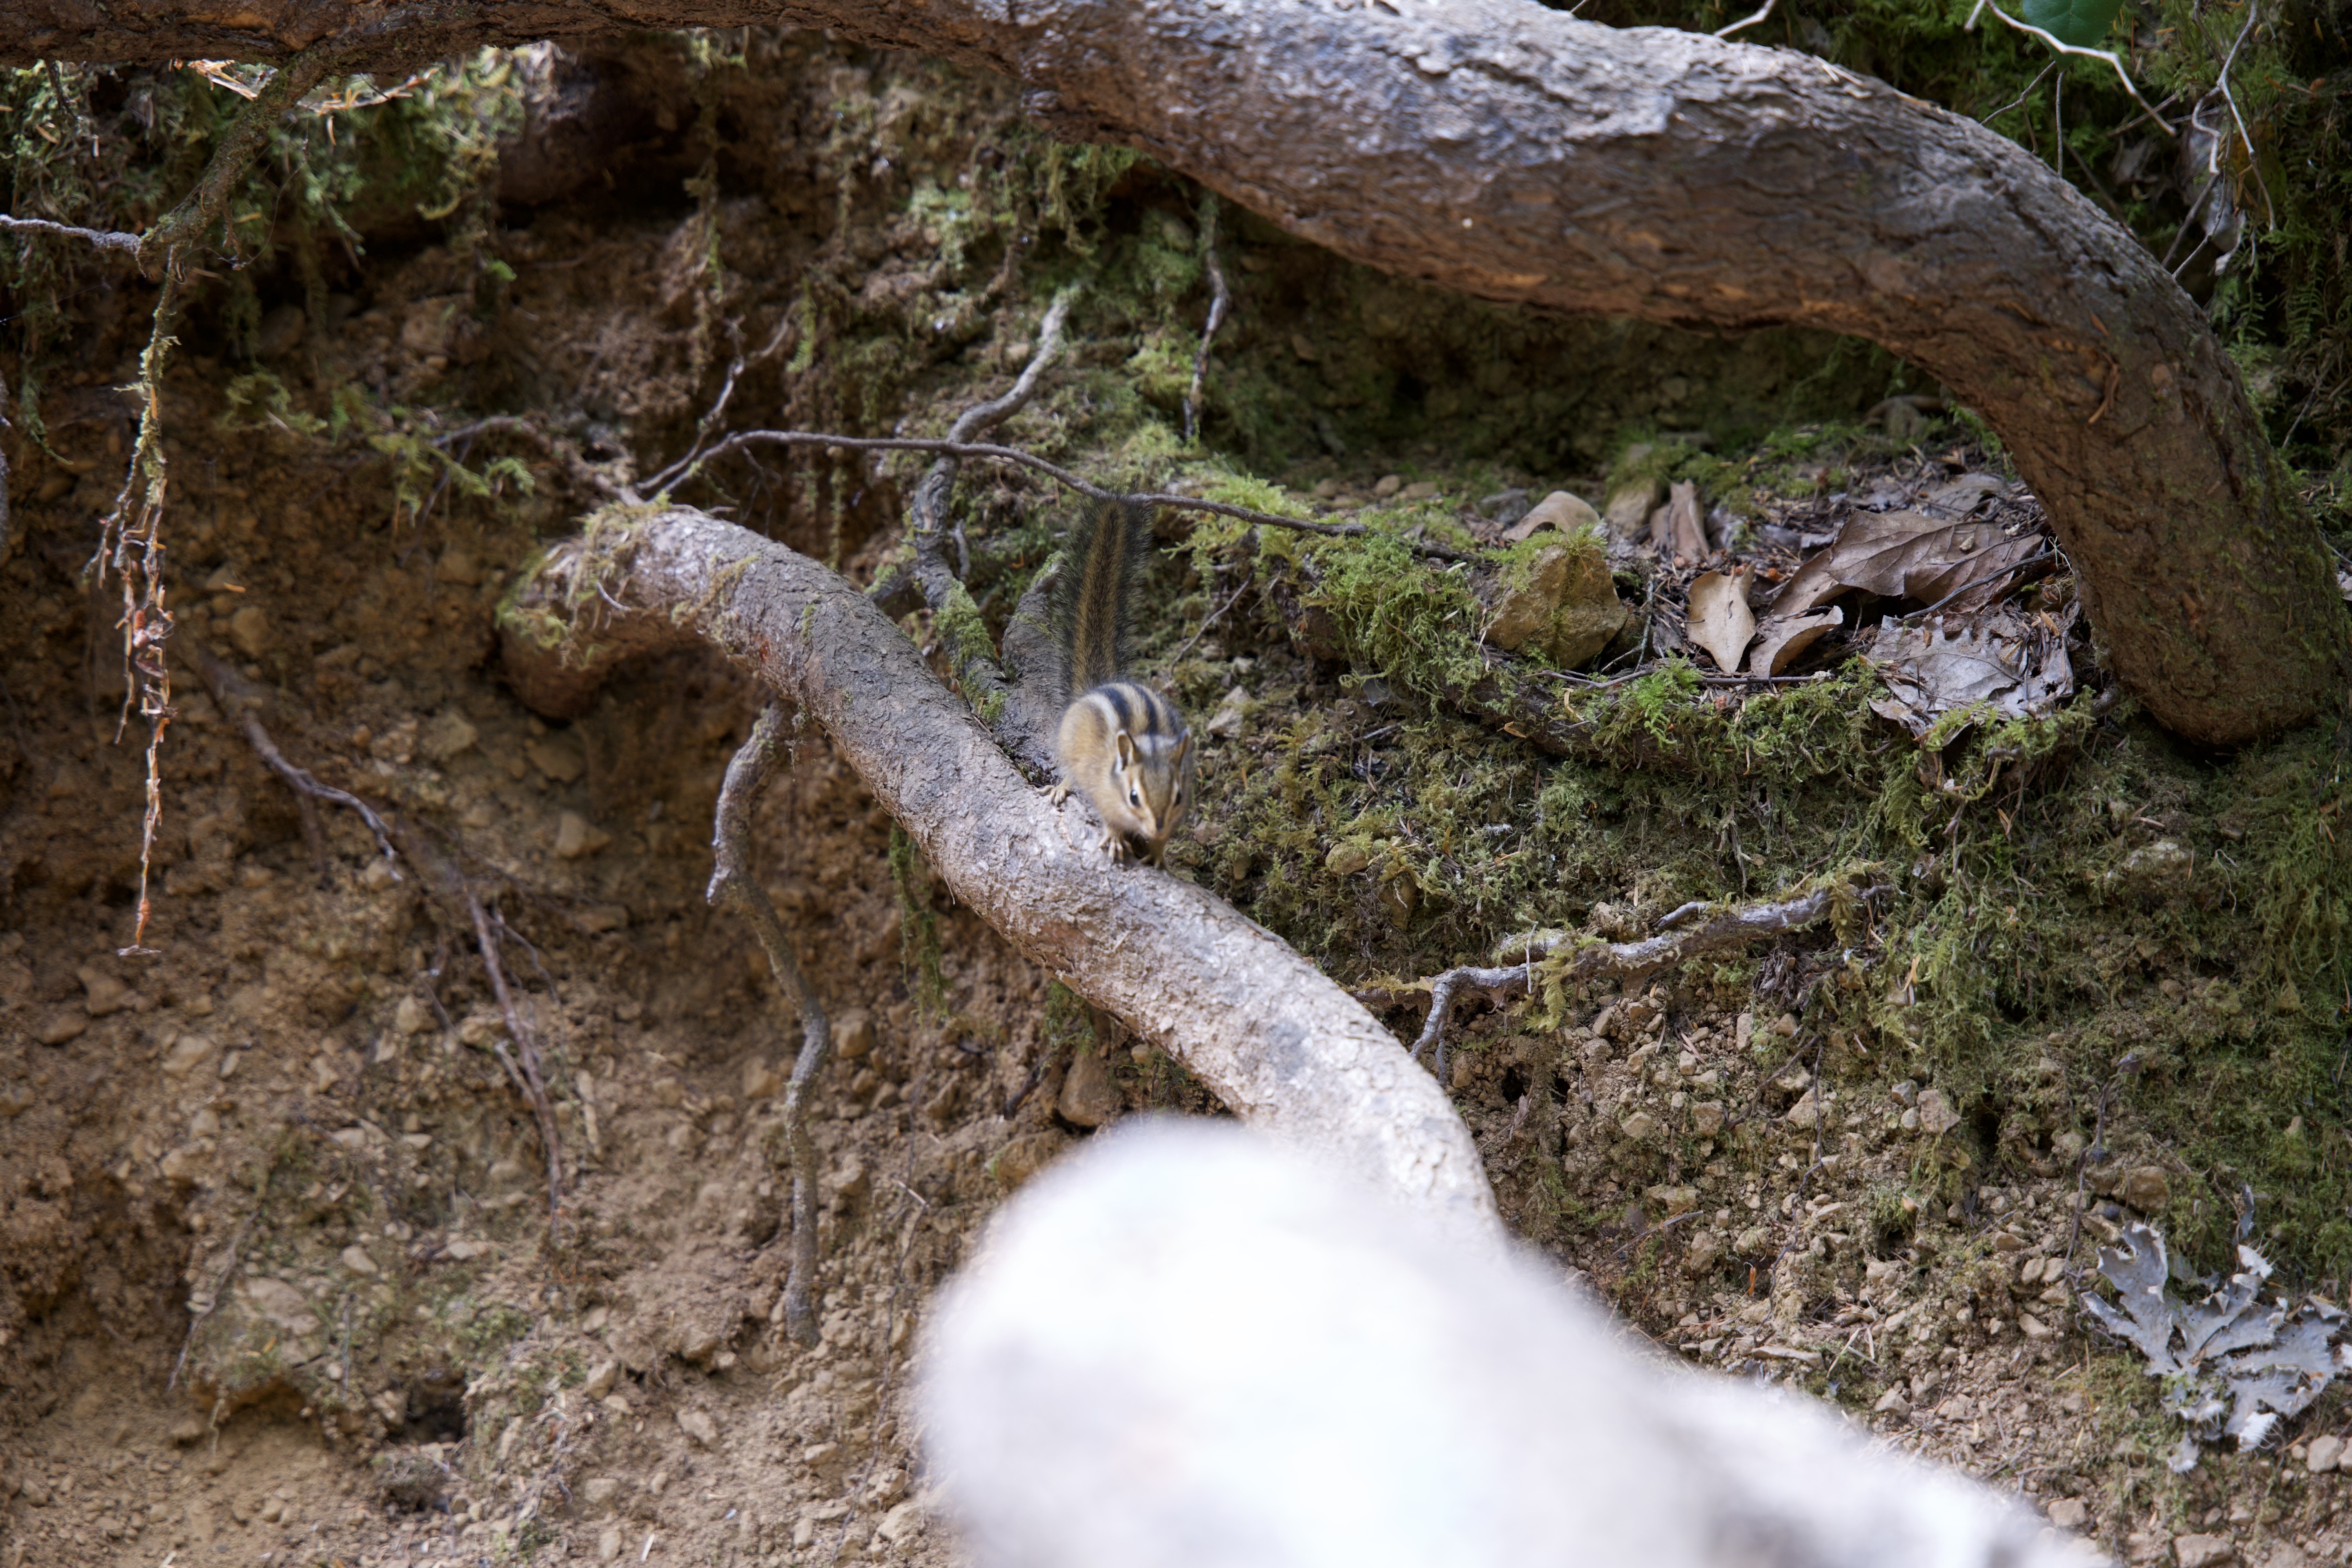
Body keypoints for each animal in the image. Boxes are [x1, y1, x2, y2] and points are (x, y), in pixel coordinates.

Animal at [1046, 496, 1195, 865]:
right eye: (1134, 797)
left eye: (1178, 796)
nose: (1157, 827)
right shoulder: (1103, 791)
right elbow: (1108, 817)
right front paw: (1115, 838)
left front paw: (1158, 853)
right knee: (1068, 770)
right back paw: (1062, 788)